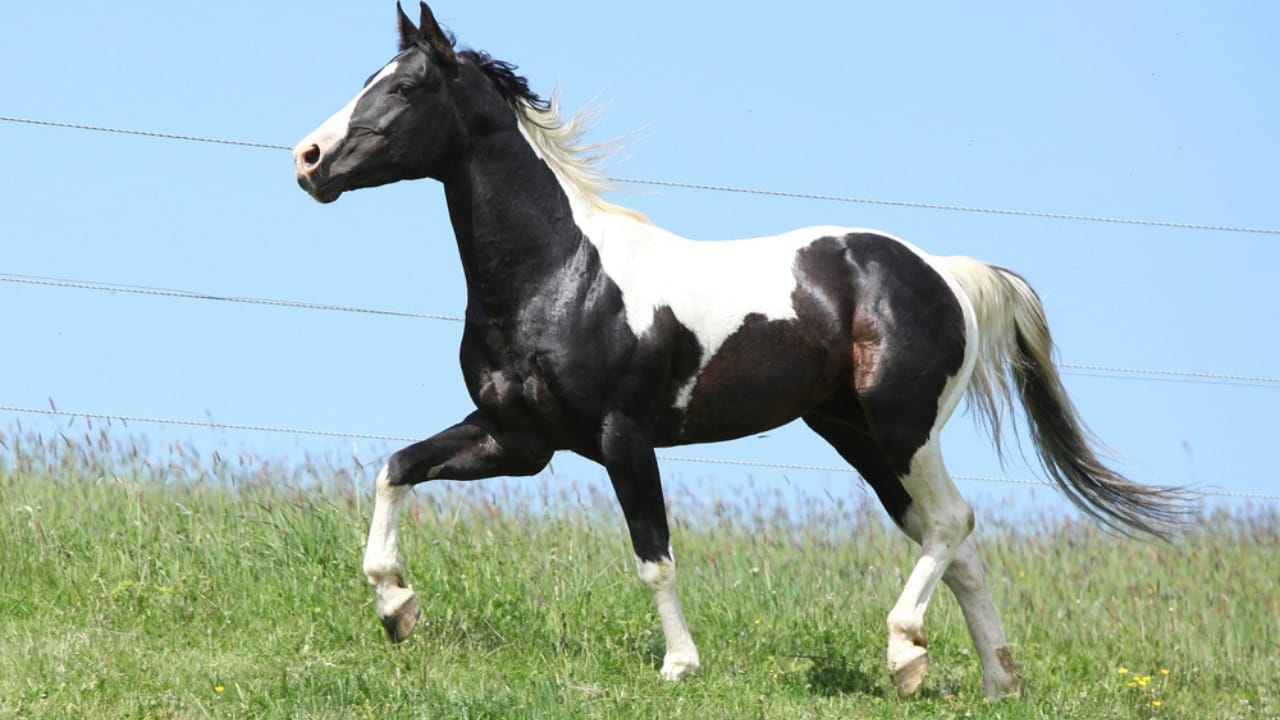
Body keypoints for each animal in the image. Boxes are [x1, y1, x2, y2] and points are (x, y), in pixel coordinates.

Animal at [292, 2, 1188, 699]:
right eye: (370, 77)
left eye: (404, 88)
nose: (308, 160)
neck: (560, 275)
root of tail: (947, 272)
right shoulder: (518, 441)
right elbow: (396, 468)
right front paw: (395, 607)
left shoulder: (622, 438)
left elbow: (653, 556)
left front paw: (680, 665)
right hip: (857, 435)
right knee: (955, 542)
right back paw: (994, 679)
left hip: (903, 427)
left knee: (953, 523)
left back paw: (905, 651)